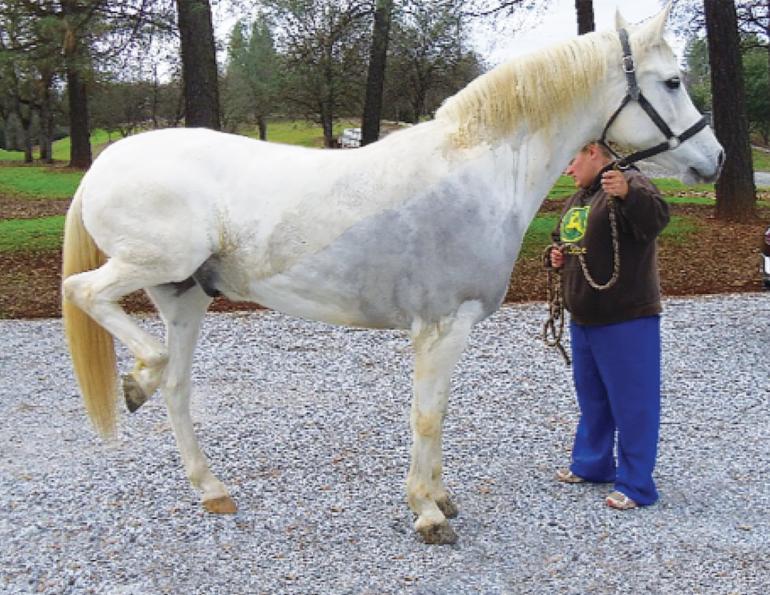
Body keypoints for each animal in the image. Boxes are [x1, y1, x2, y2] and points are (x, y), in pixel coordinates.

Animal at [62, 5, 723, 545]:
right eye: (672, 82)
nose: (713, 158)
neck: (480, 174)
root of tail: (106, 164)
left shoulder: (450, 331)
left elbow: (440, 413)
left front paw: (442, 499)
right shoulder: (440, 326)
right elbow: (426, 415)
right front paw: (426, 514)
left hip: (183, 296)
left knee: (177, 387)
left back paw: (210, 486)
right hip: (156, 267)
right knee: (86, 296)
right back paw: (138, 379)